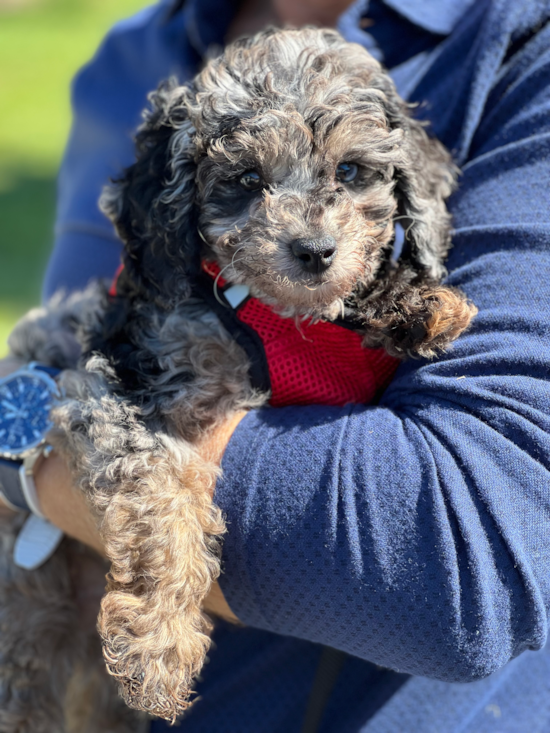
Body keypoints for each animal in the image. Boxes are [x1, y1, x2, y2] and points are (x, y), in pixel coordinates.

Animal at [4, 25, 476, 728]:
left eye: (349, 171)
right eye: (248, 179)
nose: (314, 252)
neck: (274, 316)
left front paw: (414, 302)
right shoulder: (114, 384)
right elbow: (160, 493)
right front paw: (160, 642)